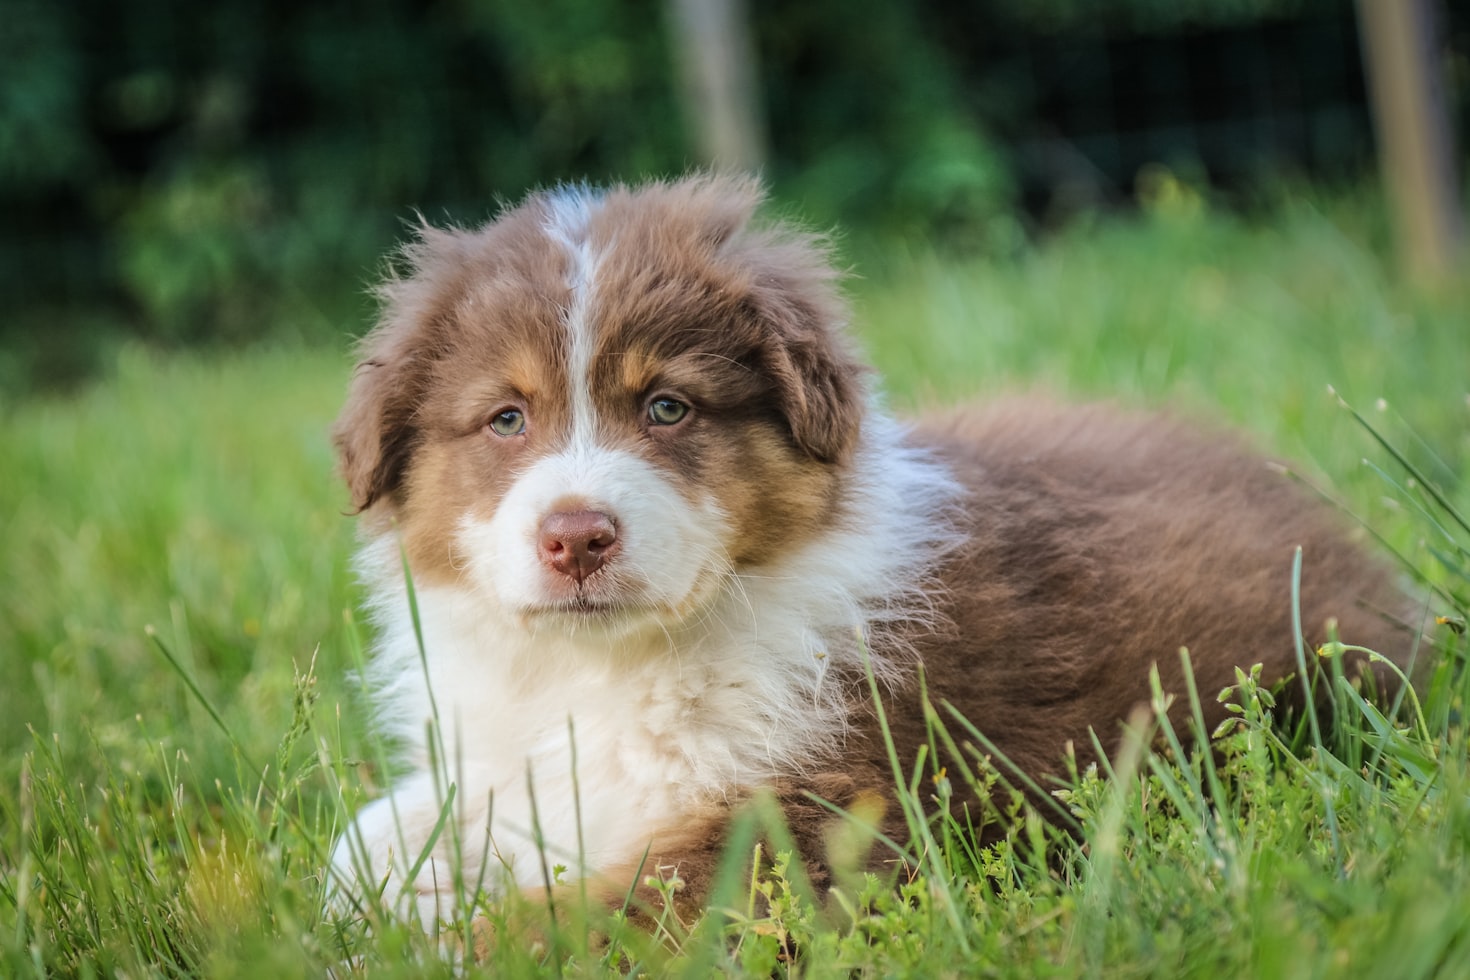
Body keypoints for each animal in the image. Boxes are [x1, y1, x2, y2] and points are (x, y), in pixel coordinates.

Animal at [324, 170, 1411, 928]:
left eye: (668, 406)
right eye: (506, 418)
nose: (576, 536)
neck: (602, 667)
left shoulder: (822, 814)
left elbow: (584, 920)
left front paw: (447, 941)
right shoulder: (494, 757)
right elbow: (364, 842)